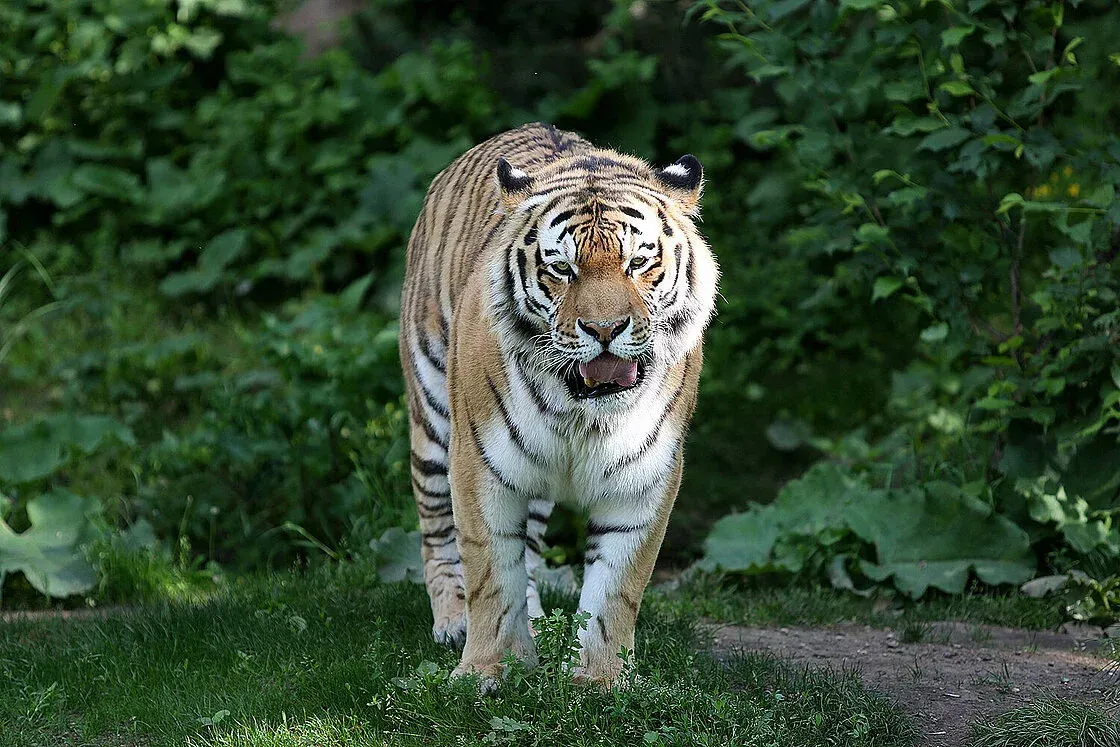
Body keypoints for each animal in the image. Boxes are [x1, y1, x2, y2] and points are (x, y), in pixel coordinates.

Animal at [400, 122, 716, 689]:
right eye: (562, 269)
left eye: (639, 262)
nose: (605, 330)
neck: (583, 412)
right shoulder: (479, 463)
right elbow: (489, 574)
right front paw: (485, 671)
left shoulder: (645, 477)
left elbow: (615, 590)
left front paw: (599, 679)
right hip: (434, 417)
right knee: (436, 532)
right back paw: (453, 620)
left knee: (526, 550)